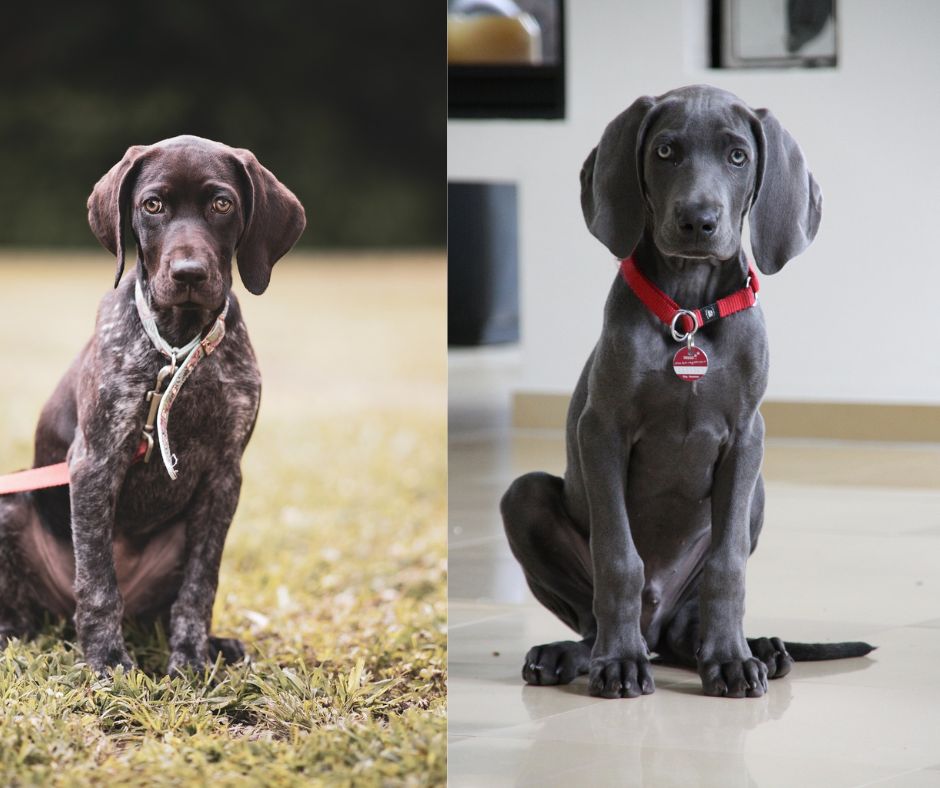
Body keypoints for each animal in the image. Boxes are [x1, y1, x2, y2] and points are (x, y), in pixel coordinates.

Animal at [504, 86, 872, 700]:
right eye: (665, 151)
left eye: (738, 156)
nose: (698, 221)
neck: (689, 311)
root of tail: (658, 628)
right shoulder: (601, 431)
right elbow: (618, 559)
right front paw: (619, 663)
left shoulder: (746, 438)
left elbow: (728, 566)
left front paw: (729, 660)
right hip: (522, 494)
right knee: (594, 617)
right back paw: (580, 654)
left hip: (756, 496)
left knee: (687, 627)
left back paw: (752, 648)